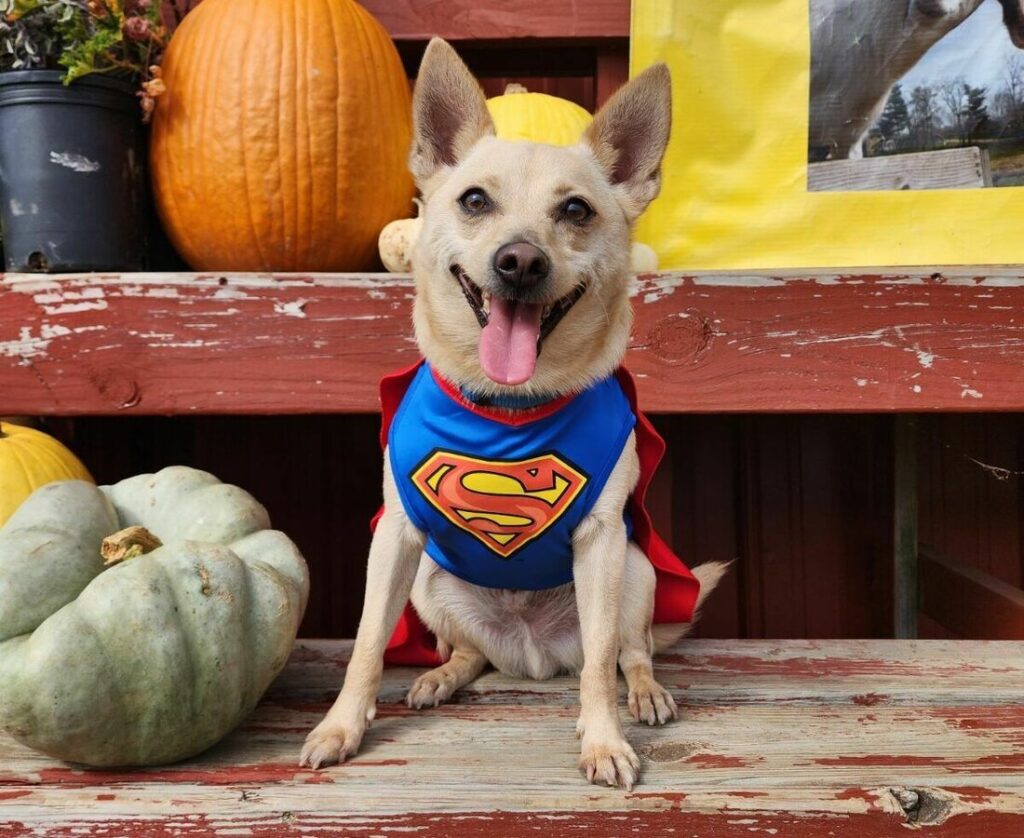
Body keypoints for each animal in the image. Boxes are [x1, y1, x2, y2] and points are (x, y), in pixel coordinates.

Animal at [299, 39, 724, 790]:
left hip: (637, 571)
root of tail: (532, 652)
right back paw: (440, 676)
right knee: (472, 654)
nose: (519, 261)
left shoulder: (603, 541)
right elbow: (366, 645)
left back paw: (644, 694)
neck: (508, 406)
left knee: (628, 652)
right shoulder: (396, 539)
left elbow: (600, 668)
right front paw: (341, 727)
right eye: (475, 200)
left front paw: (603, 740)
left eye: (577, 211)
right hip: (430, 582)